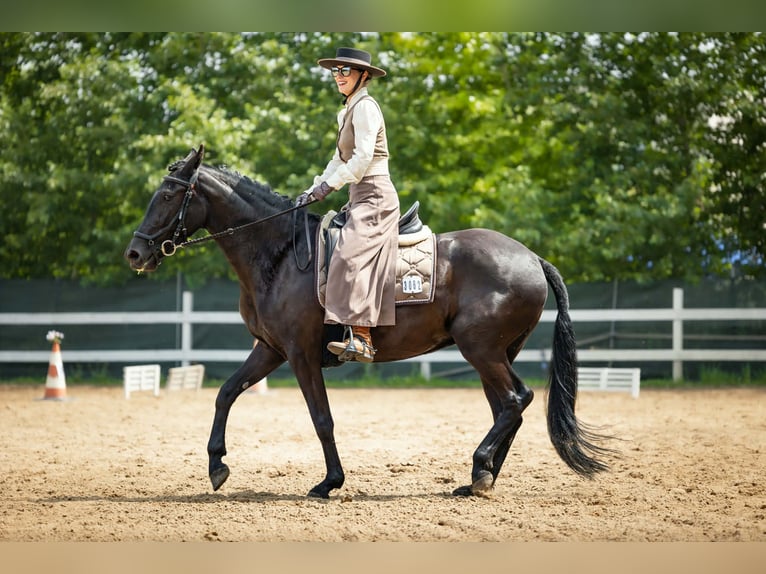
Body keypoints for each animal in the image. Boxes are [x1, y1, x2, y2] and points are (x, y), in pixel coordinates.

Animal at [124, 145, 614, 499]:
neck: (281, 254)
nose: (135, 253)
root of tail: (531, 258)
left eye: (167, 195)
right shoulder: (271, 350)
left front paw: (329, 483)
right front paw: (217, 465)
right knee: (508, 409)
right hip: (494, 353)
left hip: (481, 349)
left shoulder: (300, 354)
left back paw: (480, 469)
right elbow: (226, 393)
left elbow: (322, 418)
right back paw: (480, 477)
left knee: (517, 399)